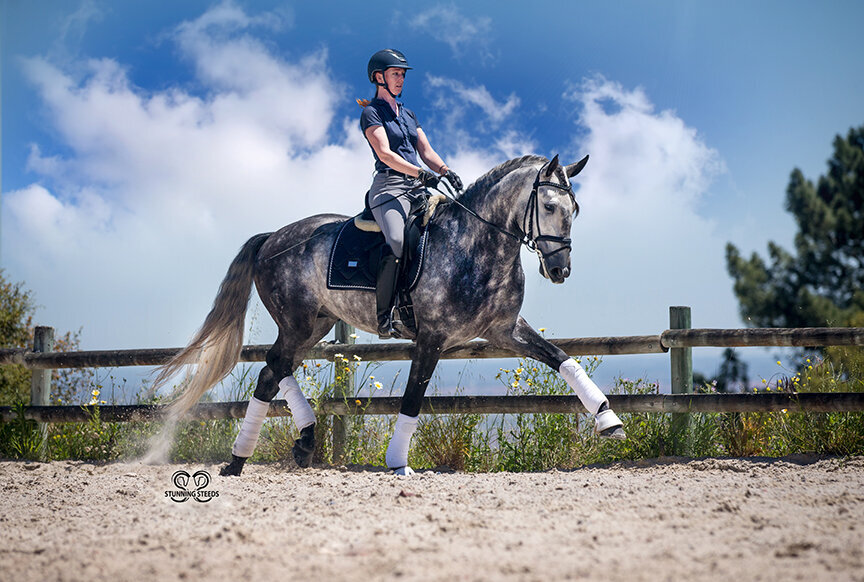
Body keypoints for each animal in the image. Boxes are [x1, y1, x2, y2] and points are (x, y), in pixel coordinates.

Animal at [155, 155, 624, 480]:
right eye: (548, 206)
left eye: (574, 209)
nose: (560, 270)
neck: (476, 244)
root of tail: (273, 237)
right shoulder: (431, 338)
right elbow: (413, 399)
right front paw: (398, 462)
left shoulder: (504, 330)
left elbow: (563, 359)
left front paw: (609, 420)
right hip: (298, 322)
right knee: (274, 365)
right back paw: (279, 447)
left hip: (315, 325)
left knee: (274, 370)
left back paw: (263, 453)